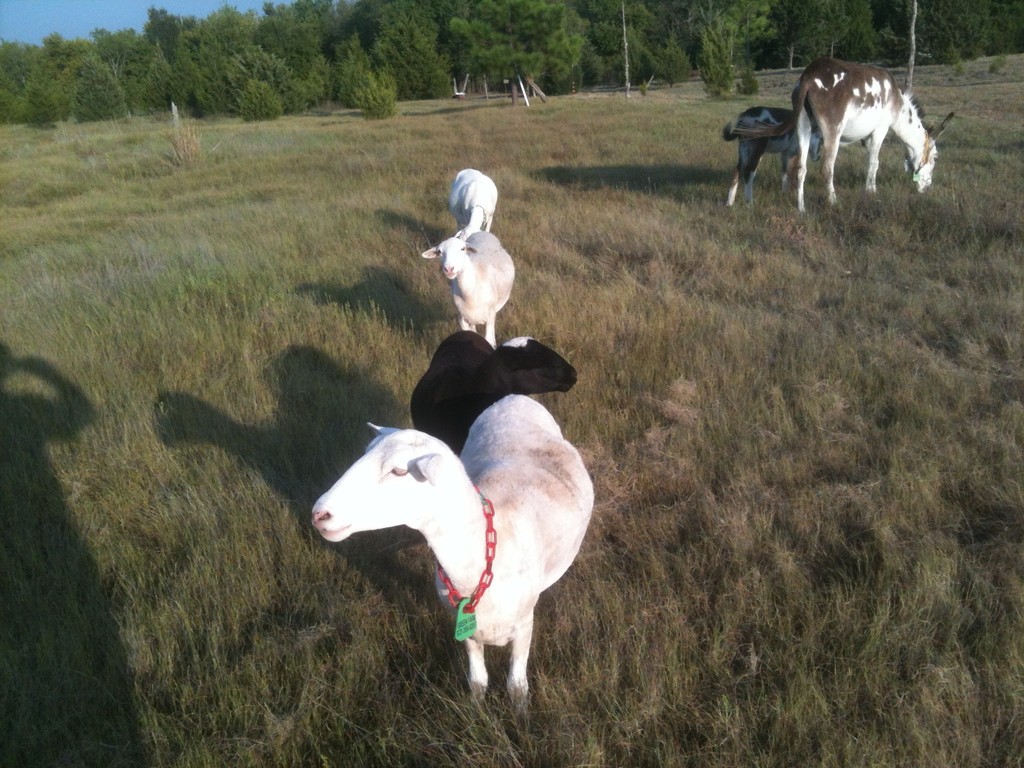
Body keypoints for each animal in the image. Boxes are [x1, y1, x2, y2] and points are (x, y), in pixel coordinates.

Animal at [311, 394, 594, 710]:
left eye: (399, 471)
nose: (319, 514)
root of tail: (514, 397)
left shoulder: (524, 625)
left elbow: (516, 686)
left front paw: (520, 716)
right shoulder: (464, 625)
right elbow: (478, 681)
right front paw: (477, 711)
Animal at [734, 57, 954, 212]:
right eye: (935, 157)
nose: (927, 188)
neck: (898, 105)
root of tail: (807, 77)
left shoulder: (866, 138)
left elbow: (869, 162)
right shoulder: (880, 129)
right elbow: (874, 163)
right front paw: (872, 193)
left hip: (803, 125)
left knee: (800, 168)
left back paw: (801, 208)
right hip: (833, 130)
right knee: (826, 168)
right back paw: (833, 202)